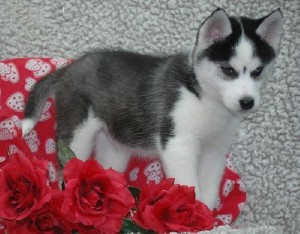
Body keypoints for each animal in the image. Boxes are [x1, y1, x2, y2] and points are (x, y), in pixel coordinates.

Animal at [22, 8, 282, 210]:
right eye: (228, 70)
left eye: (258, 71)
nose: (247, 102)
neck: (205, 98)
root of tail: (71, 66)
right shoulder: (178, 144)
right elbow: (191, 186)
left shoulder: (214, 152)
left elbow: (208, 192)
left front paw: (208, 220)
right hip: (76, 135)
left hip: (114, 148)